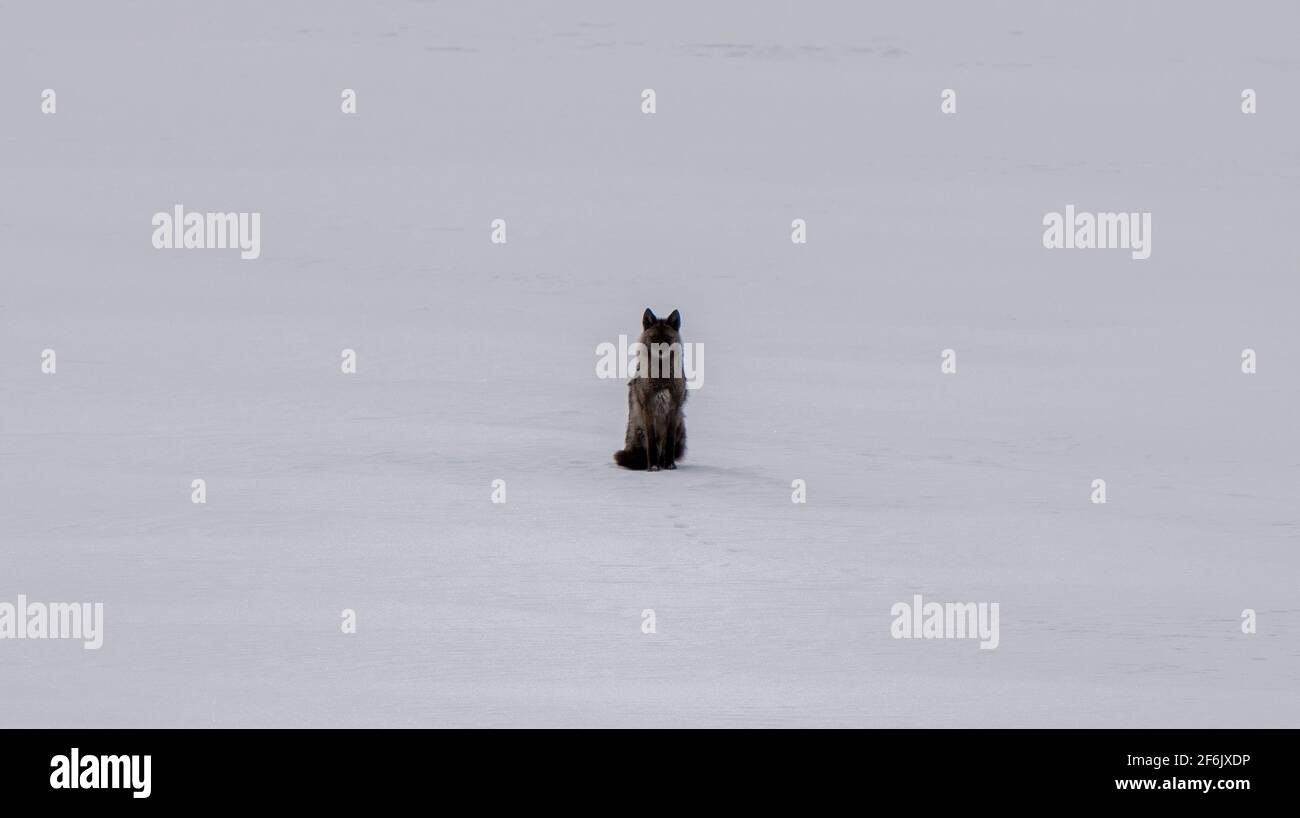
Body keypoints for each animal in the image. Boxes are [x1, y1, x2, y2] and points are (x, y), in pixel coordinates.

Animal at [613, 308, 687, 471]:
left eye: (668, 337)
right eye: (654, 337)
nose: (660, 351)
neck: (661, 377)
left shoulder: (673, 409)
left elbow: (669, 443)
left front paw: (670, 465)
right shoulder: (648, 409)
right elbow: (652, 442)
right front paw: (653, 467)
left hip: (680, 425)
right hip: (637, 431)